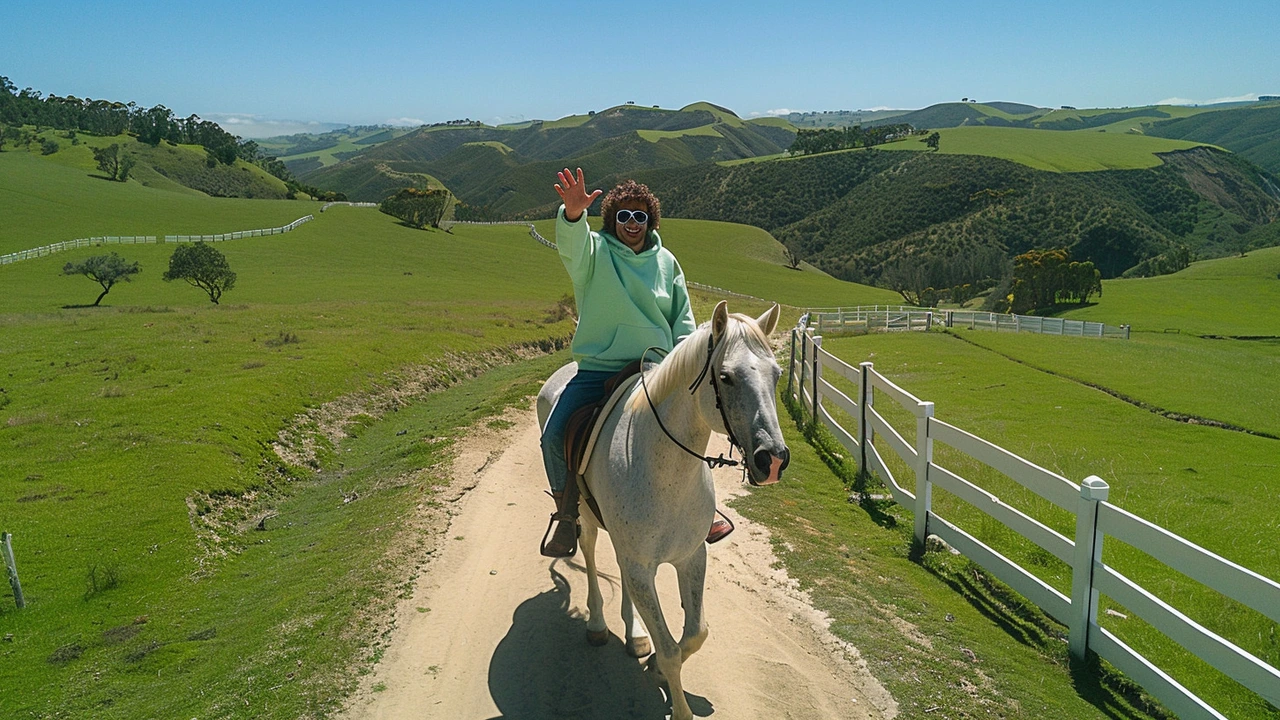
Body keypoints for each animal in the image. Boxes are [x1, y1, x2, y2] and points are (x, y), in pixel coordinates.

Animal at [532, 298, 788, 717]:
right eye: (726, 377)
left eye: (777, 375)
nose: (774, 460)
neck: (665, 468)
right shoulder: (641, 564)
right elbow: (670, 650)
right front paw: (675, 697)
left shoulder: (691, 556)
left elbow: (696, 633)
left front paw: (652, 665)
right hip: (585, 516)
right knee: (588, 553)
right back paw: (597, 624)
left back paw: (635, 635)